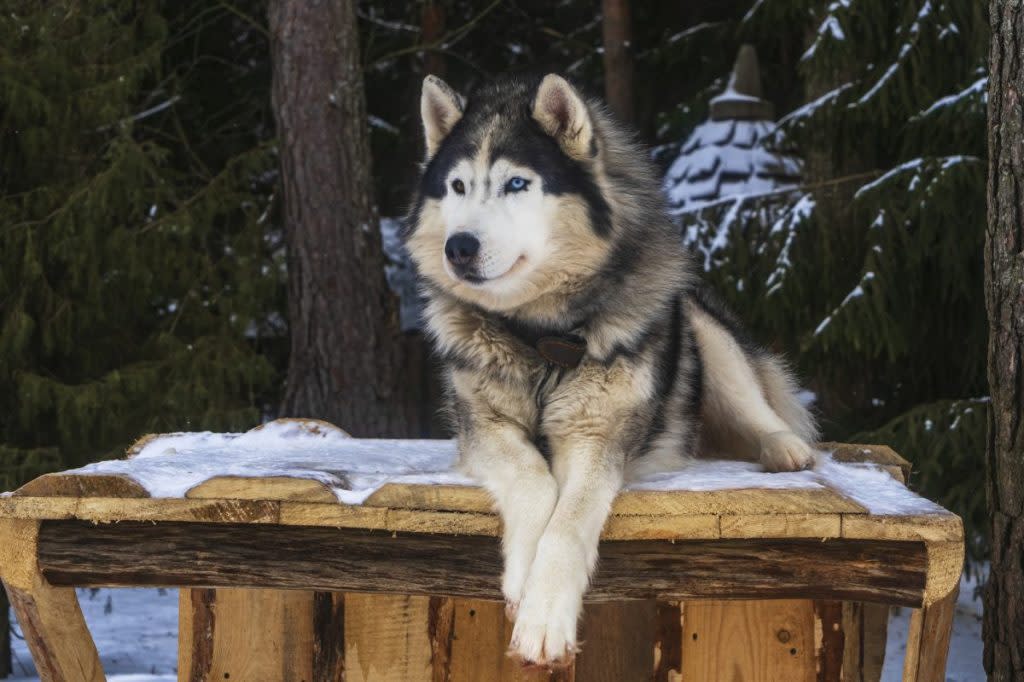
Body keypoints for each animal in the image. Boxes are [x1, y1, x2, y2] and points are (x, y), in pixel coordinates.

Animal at [399, 74, 815, 663]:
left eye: (517, 184)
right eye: (457, 186)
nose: (458, 247)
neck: (541, 339)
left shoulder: (598, 438)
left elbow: (569, 521)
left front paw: (544, 616)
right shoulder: (483, 428)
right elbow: (533, 480)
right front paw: (523, 578)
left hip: (704, 331)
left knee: (755, 406)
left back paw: (784, 447)